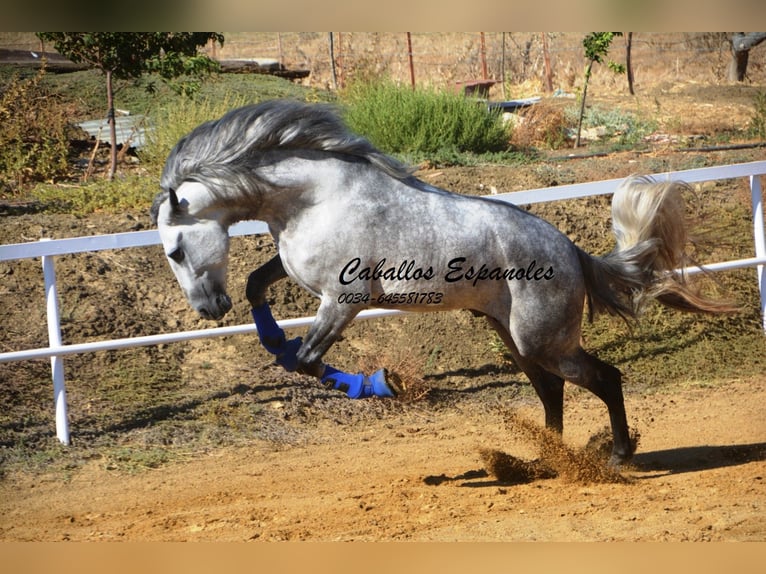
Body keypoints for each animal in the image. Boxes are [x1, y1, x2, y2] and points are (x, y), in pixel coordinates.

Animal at [152, 100, 732, 468]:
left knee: (604, 379)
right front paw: (273, 340)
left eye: (175, 250)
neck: (313, 198)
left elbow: (308, 360)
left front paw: (384, 384)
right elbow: (257, 286)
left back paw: (615, 457)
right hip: (516, 339)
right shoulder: (298, 274)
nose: (207, 309)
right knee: (553, 391)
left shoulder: (344, 300)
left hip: (542, 340)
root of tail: (572, 253)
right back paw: (546, 460)